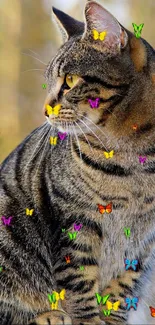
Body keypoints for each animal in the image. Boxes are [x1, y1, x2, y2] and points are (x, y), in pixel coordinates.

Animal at [0, 0, 155, 324]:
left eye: (70, 80)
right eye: (49, 82)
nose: (45, 110)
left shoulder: (145, 239)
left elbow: (124, 284)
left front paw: (110, 317)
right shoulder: (74, 219)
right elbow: (79, 278)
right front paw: (88, 319)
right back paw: (48, 314)